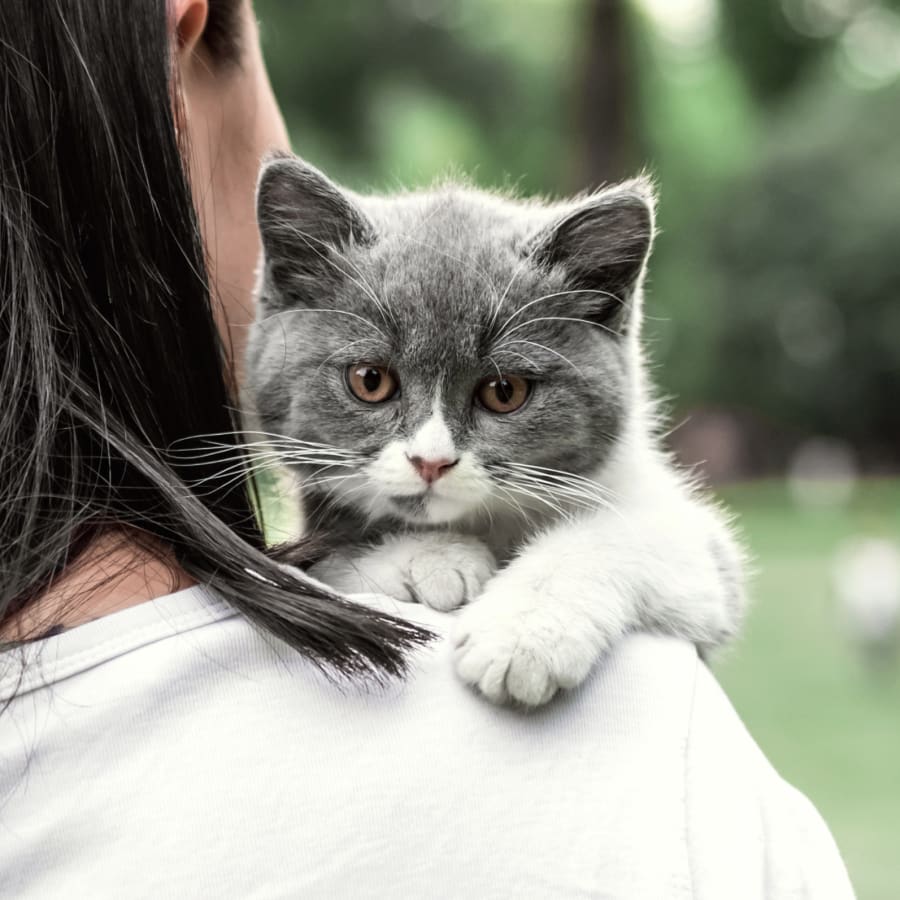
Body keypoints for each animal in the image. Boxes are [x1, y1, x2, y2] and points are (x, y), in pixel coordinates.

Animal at [246, 153, 744, 704]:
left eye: (505, 391)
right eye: (370, 380)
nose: (431, 461)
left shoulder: (706, 561)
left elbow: (629, 534)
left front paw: (523, 635)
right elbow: (321, 563)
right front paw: (436, 560)